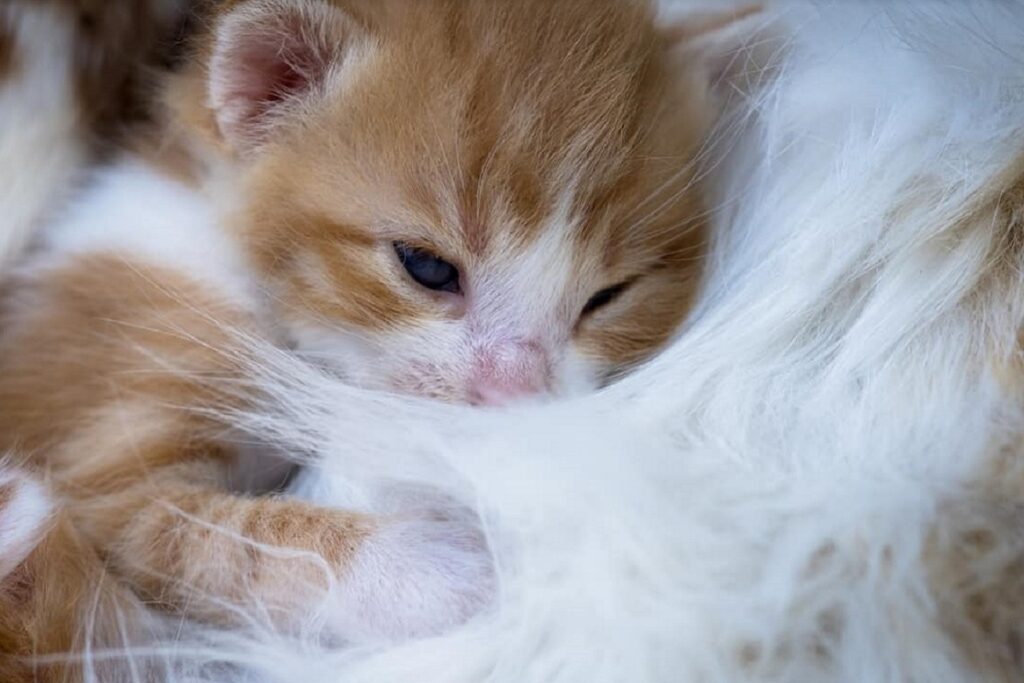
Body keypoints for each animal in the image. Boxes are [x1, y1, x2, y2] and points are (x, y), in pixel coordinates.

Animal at [0, 1, 757, 679]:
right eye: (426, 267)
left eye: (609, 295)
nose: (512, 393)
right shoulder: (95, 455)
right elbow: (215, 542)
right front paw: (440, 574)